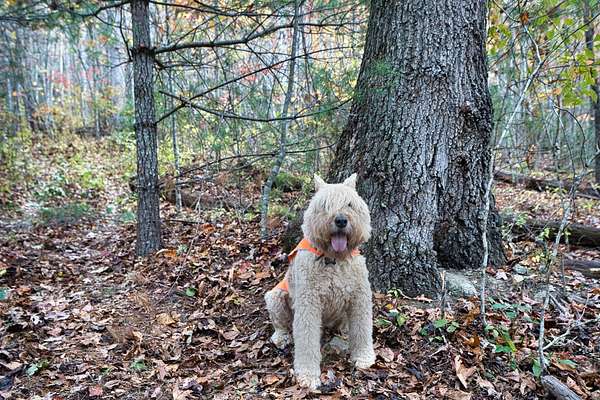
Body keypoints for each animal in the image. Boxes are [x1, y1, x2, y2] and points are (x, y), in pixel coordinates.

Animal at [264, 173, 375, 389]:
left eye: (349, 204)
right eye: (325, 205)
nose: (340, 220)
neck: (334, 259)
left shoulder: (360, 298)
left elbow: (362, 329)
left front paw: (364, 357)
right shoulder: (309, 303)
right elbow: (306, 341)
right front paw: (308, 375)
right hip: (276, 297)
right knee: (280, 325)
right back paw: (281, 337)